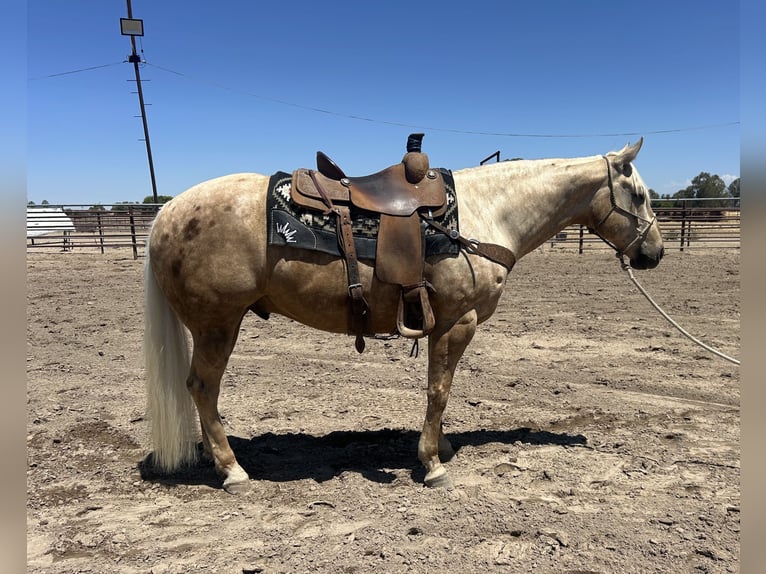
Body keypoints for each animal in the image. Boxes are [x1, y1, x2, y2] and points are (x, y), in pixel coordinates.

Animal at [143, 137, 664, 494]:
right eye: (638, 195)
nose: (654, 253)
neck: (485, 214)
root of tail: (168, 212)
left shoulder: (440, 324)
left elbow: (439, 390)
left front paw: (442, 448)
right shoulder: (457, 322)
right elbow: (439, 390)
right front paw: (433, 464)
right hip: (217, 325)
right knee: (202, 389)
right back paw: (232, 470)